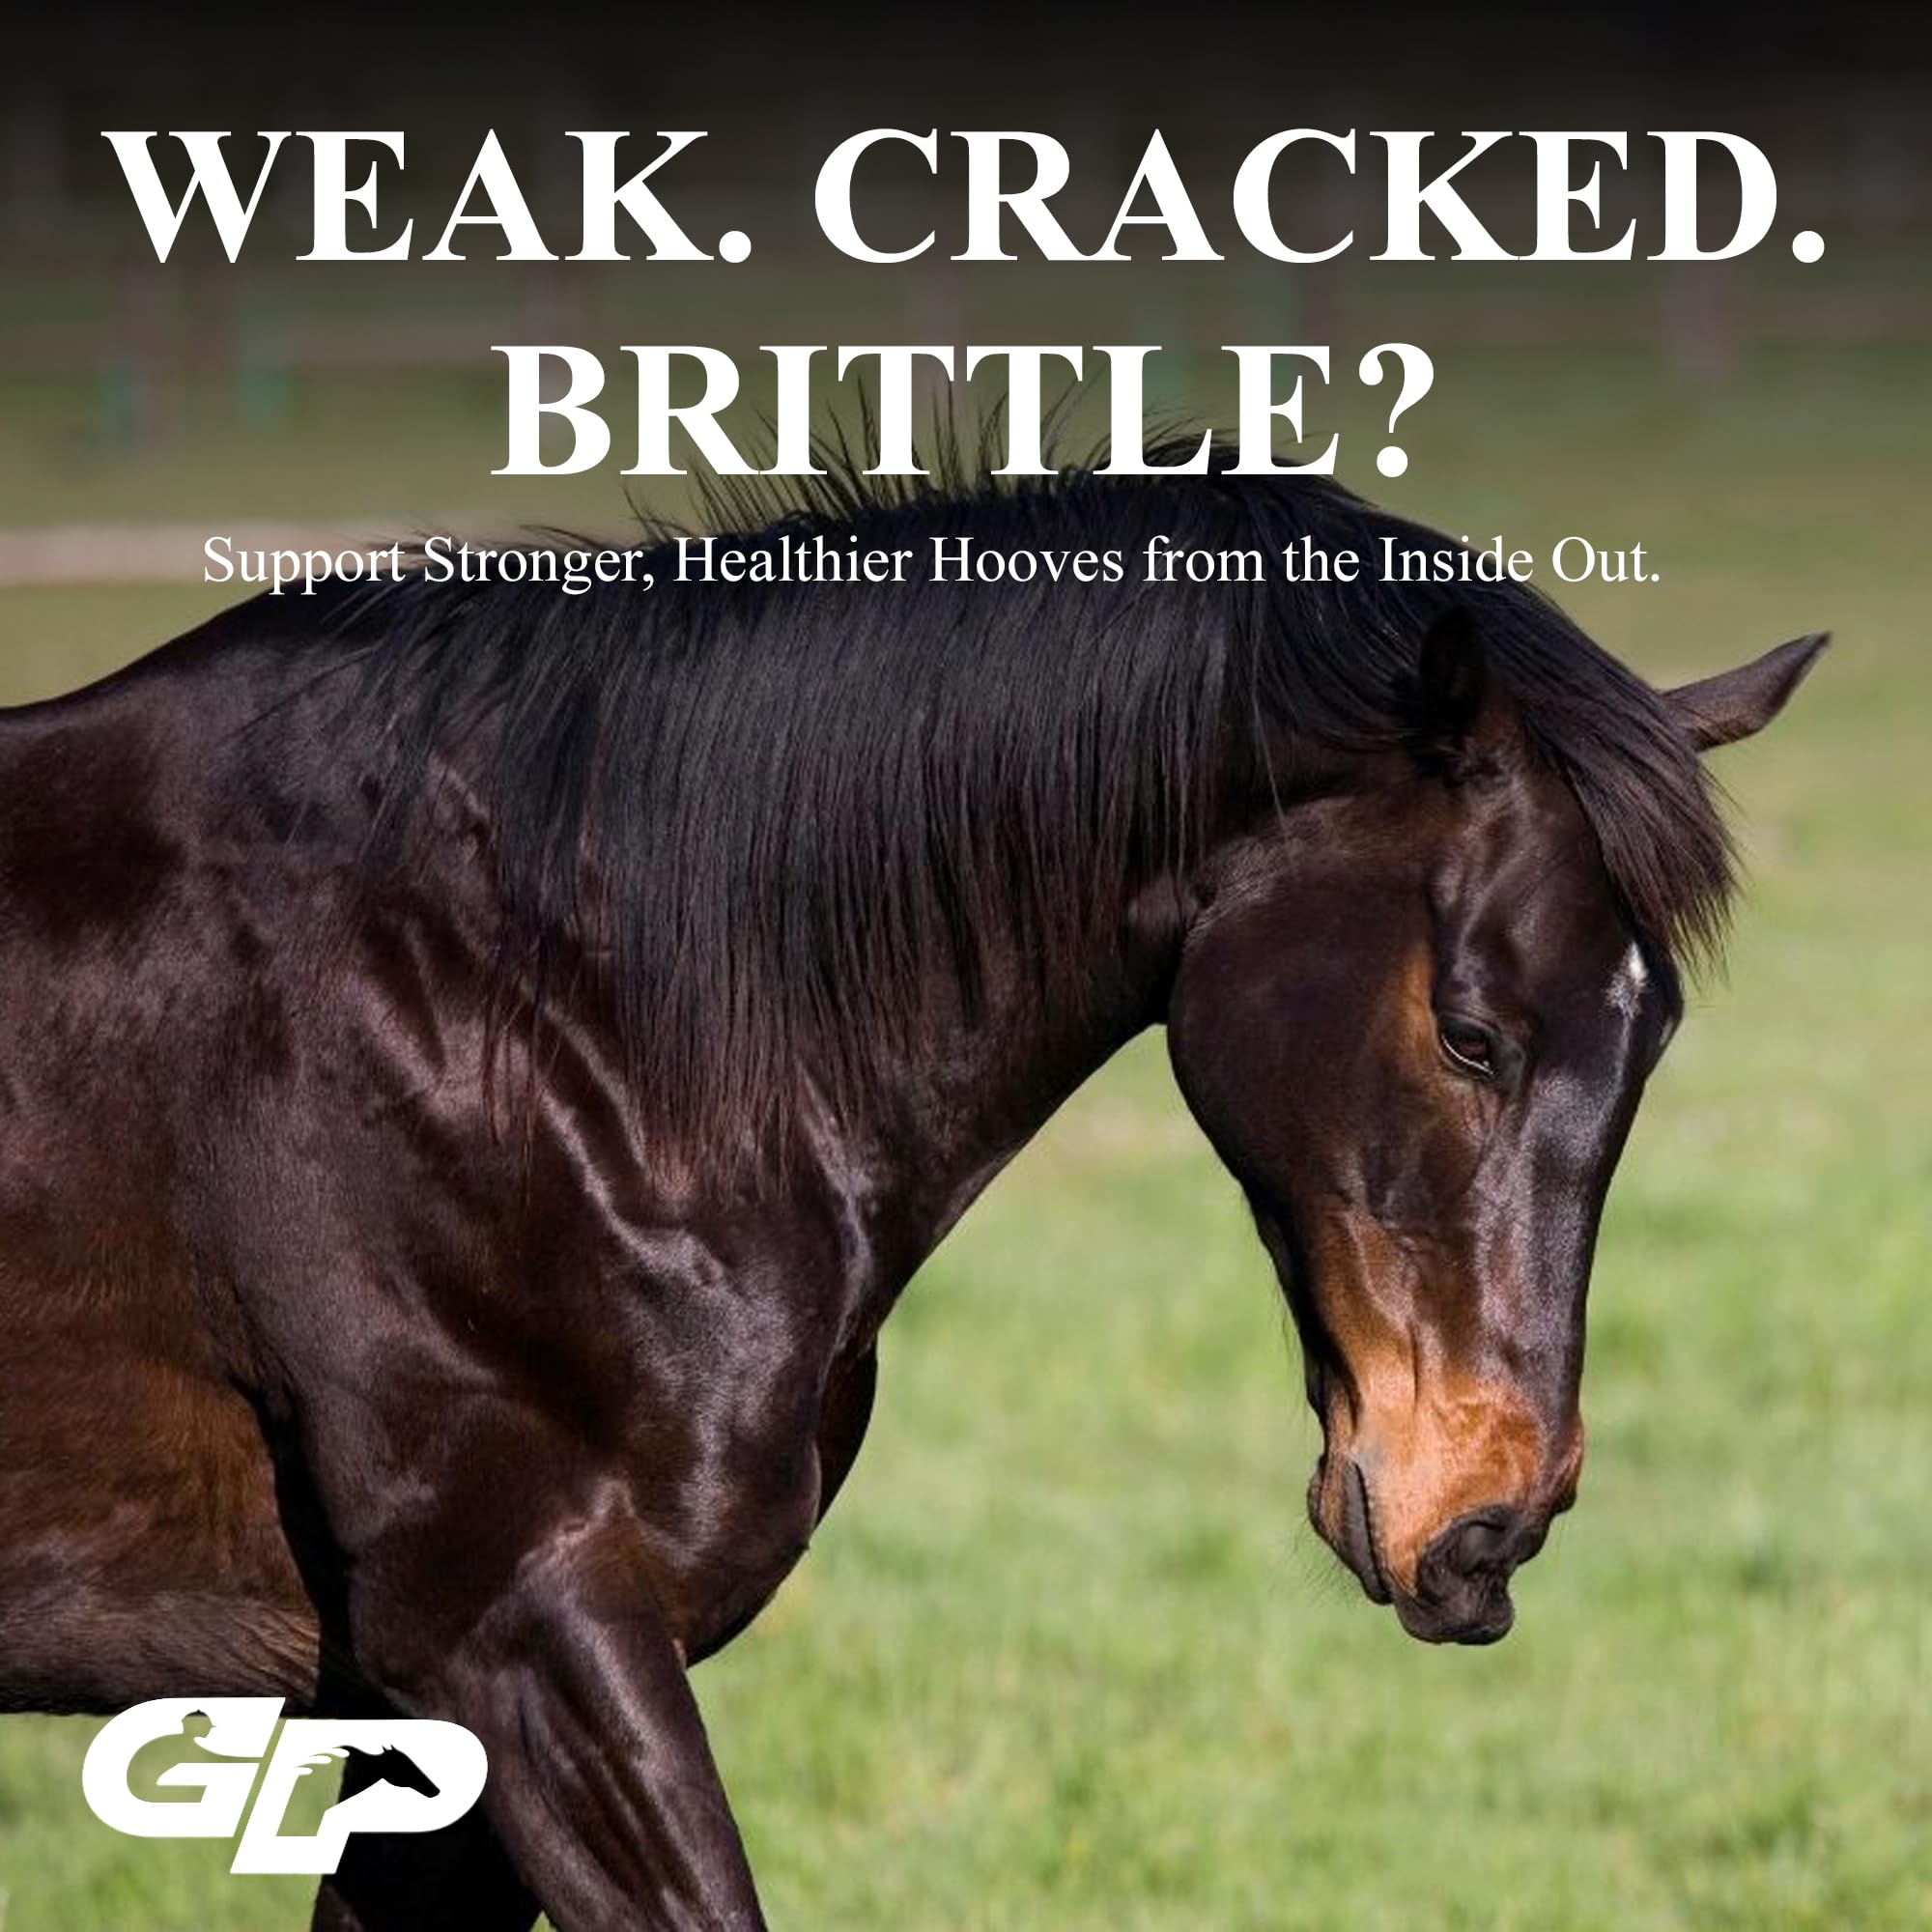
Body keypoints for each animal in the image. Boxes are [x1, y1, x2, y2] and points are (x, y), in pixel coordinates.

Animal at [0, 452, 1822, 1929]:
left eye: (1651, 1037)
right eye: (1471, 1032)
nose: (1492, 1524)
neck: (535, 1015)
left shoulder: (425, 1713)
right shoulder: (510, 1627)